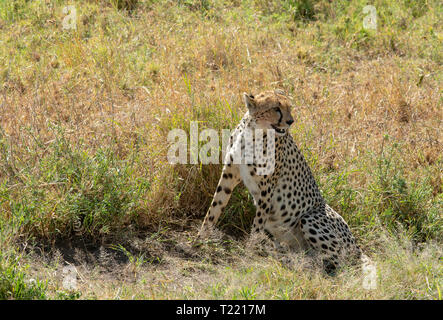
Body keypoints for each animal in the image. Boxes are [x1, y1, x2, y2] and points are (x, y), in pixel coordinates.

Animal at [199, 89, 372, 274]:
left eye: (289, 107)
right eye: (276, 108)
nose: (290, 121)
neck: (252, 132)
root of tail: (357, 247)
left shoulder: (267, 188)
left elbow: (257, 224)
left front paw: (249, 252)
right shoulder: (229, 175)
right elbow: (214, 209)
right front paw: (199, 240)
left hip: (310, 218)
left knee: (341, 265)